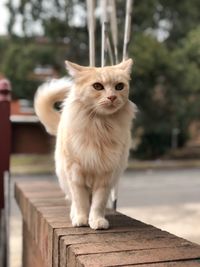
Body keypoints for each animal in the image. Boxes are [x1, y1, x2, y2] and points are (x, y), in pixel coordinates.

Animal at [34, 59, 138, 230]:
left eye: (119, 87)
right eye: (97, 86)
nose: (112, 97)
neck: (100, 126)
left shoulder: (105, 176)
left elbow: (98, 203)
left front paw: (97, 220)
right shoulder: (75, 173)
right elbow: (80, 201)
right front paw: (81, 219)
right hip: (63, 176)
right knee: (72, 199)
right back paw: (74, 214)